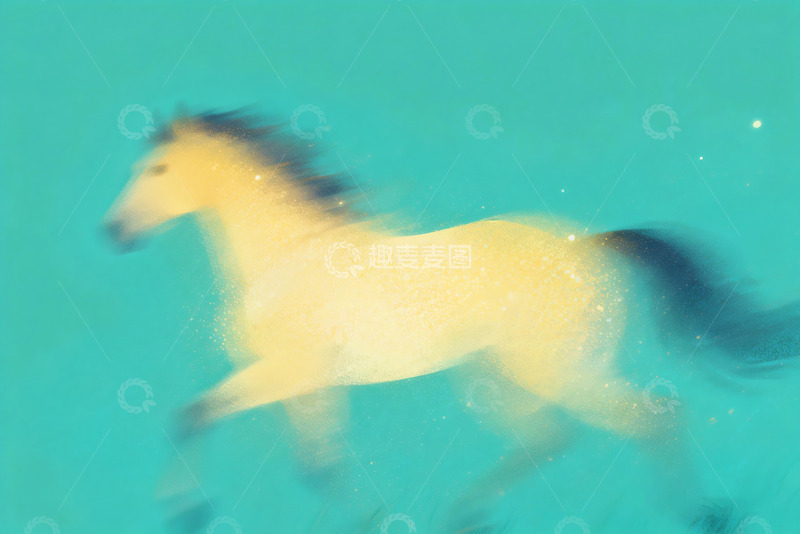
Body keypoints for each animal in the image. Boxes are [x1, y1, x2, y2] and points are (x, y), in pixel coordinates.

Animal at [104, 111, 798, 532]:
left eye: (157, 169)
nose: (113, 232)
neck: (288, 256)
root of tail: (593, 244)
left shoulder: (287, 372)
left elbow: (194, 416)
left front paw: (186, 511)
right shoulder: (308, 381)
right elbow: (316, 465)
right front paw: (369, 518)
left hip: (556, 370)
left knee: (651, 417)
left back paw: (705, 515)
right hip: (494, 376)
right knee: (549, 437)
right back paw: (466, 517)